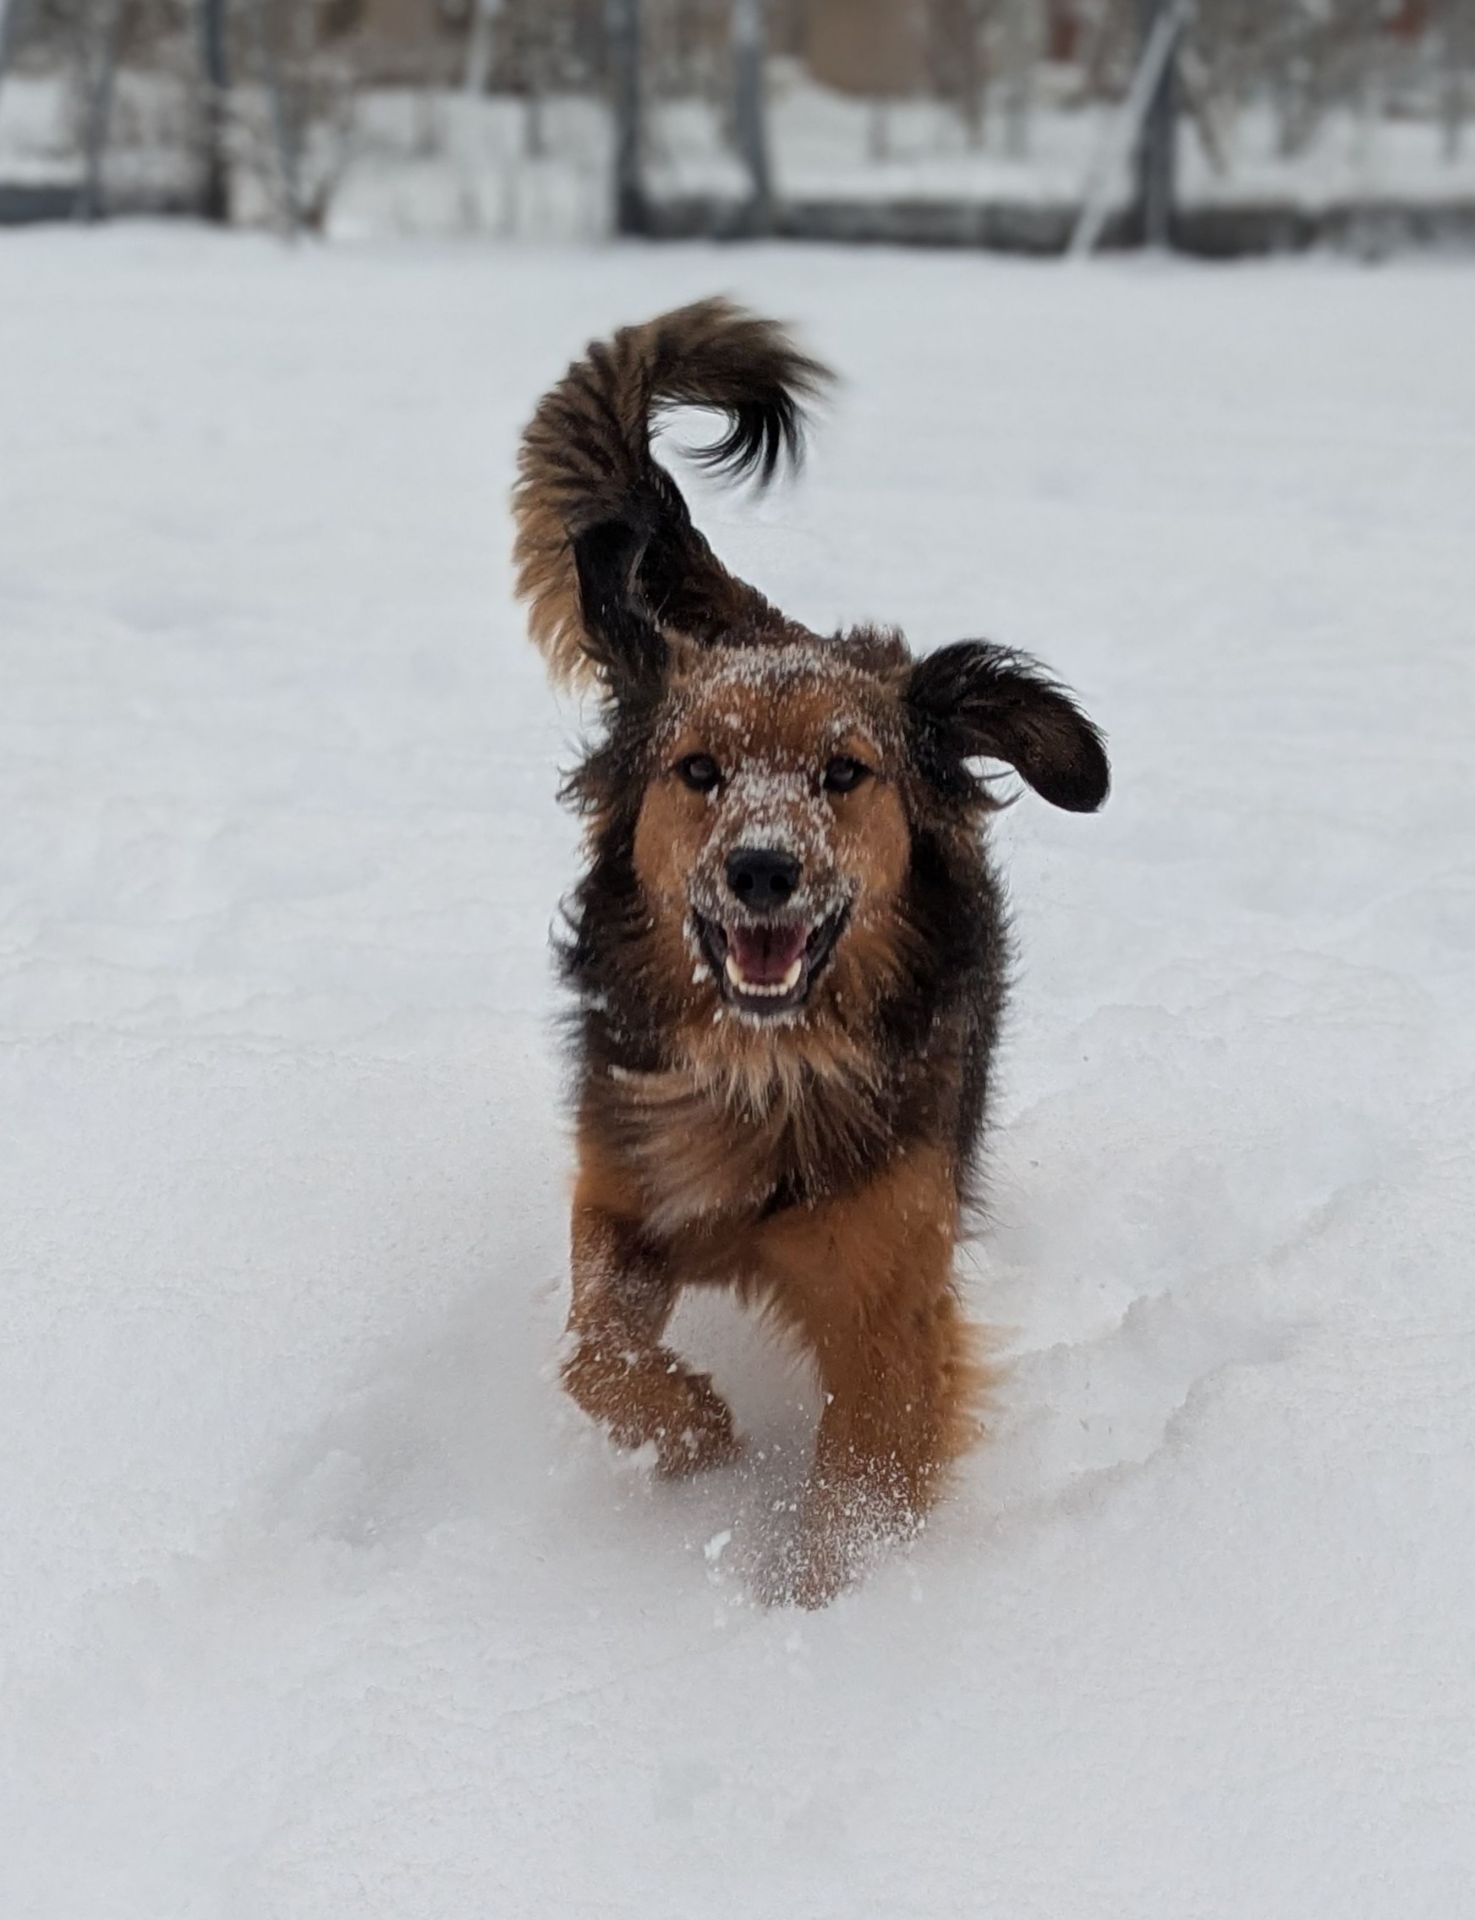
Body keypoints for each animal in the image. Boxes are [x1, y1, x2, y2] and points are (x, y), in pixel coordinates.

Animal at [514, 299, 1106, 1597]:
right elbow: (588, 1357)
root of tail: (769, 624)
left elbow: (860, 1496)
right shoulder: (622, 1189)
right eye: (697, 770)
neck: (763, 1067)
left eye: (845, 773)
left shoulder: (887, 1303)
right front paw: (695, 1437)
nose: (761, 870)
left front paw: (816, 1622)